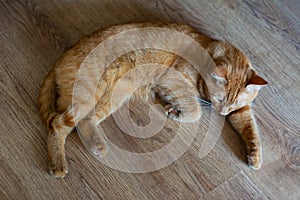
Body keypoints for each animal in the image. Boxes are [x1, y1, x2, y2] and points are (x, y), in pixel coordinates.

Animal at [38, 22, 268, 178]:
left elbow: (250, 128)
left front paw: (255, 156)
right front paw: (175, 111)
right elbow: (196, 111)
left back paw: (97, 145)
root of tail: (64, 54)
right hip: (89, 95)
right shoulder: (173, 78)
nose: (221, 113)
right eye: (219, 98)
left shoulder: (242, 110)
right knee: (58, 126)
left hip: (113, 96)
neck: (209, 50)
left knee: (85, 121)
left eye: (234, 104)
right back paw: (58, 164)